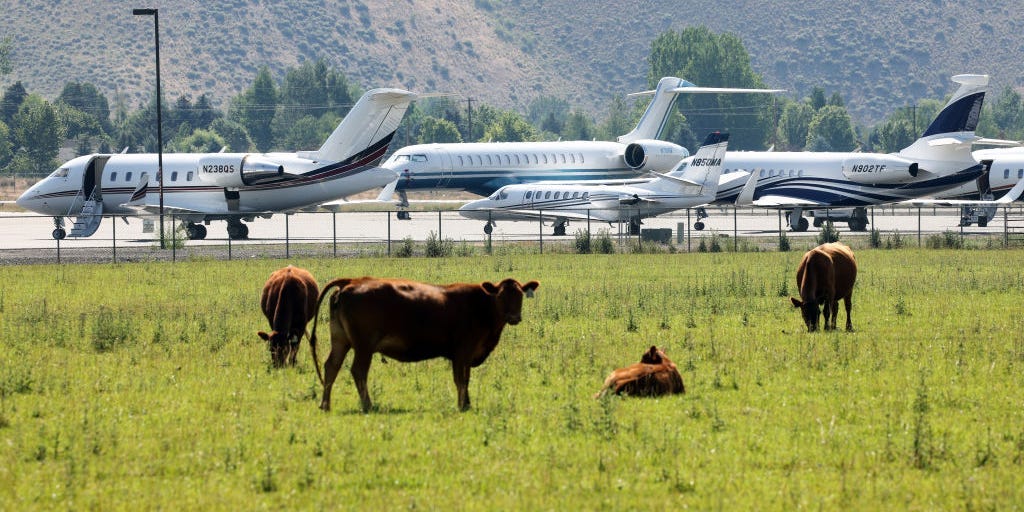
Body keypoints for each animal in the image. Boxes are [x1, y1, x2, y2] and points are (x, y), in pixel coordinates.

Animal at [309, 276, 540, 411]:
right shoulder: (462, 351)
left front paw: (467, 403)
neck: (481, 306)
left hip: (340, 340)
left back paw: (325, 404)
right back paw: (368, 405)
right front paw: (462, 405)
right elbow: (461, 380)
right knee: (358, 371)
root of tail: (351, 283)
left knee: (331, 367)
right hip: (364, 346)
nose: (514, 317)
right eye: (501, 296)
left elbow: (466, 379)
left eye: (520, 295)